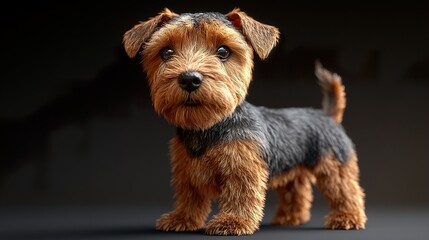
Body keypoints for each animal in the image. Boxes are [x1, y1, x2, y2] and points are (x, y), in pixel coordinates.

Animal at [122, 7, 366, 236]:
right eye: (167, 52)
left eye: (223, 51)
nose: (189, 78)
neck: (209, 126)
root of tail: (327, 116)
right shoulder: (187, 171)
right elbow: (189, 197)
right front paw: (182, 219)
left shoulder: (242, 168)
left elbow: (240, 195)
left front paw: (233, 221)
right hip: (291, 168)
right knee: (297, 191)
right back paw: (290, 218)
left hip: (334, 164)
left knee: (345, 189)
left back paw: (347, 217)